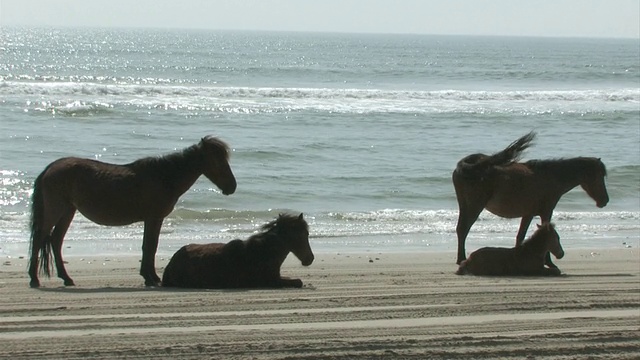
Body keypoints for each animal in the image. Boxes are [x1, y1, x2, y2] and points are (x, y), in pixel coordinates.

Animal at [28, 135, 236, 286]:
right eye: (217, 161)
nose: (232, 187)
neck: (164, 177)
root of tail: (51, 168)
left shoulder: (153, 219)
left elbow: (150, 246)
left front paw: (150, 276)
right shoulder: (154, 218)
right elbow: (150, 246)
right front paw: (150, 278)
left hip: (68, 211)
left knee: (55, 241)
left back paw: (66, 278)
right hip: (56, 210)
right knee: (40, 238)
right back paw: (34, 279)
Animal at [452, 132, 608, 268]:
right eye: (599, 176)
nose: (605, 200)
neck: (551, 176)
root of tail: (466, 164)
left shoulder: (528, 214)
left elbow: (520, 236)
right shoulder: (546, 212)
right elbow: (545, 231)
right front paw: (549, 263)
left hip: (465, 205)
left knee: (460, 229)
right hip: (474, 206)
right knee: (463, 229)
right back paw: (461, 259)